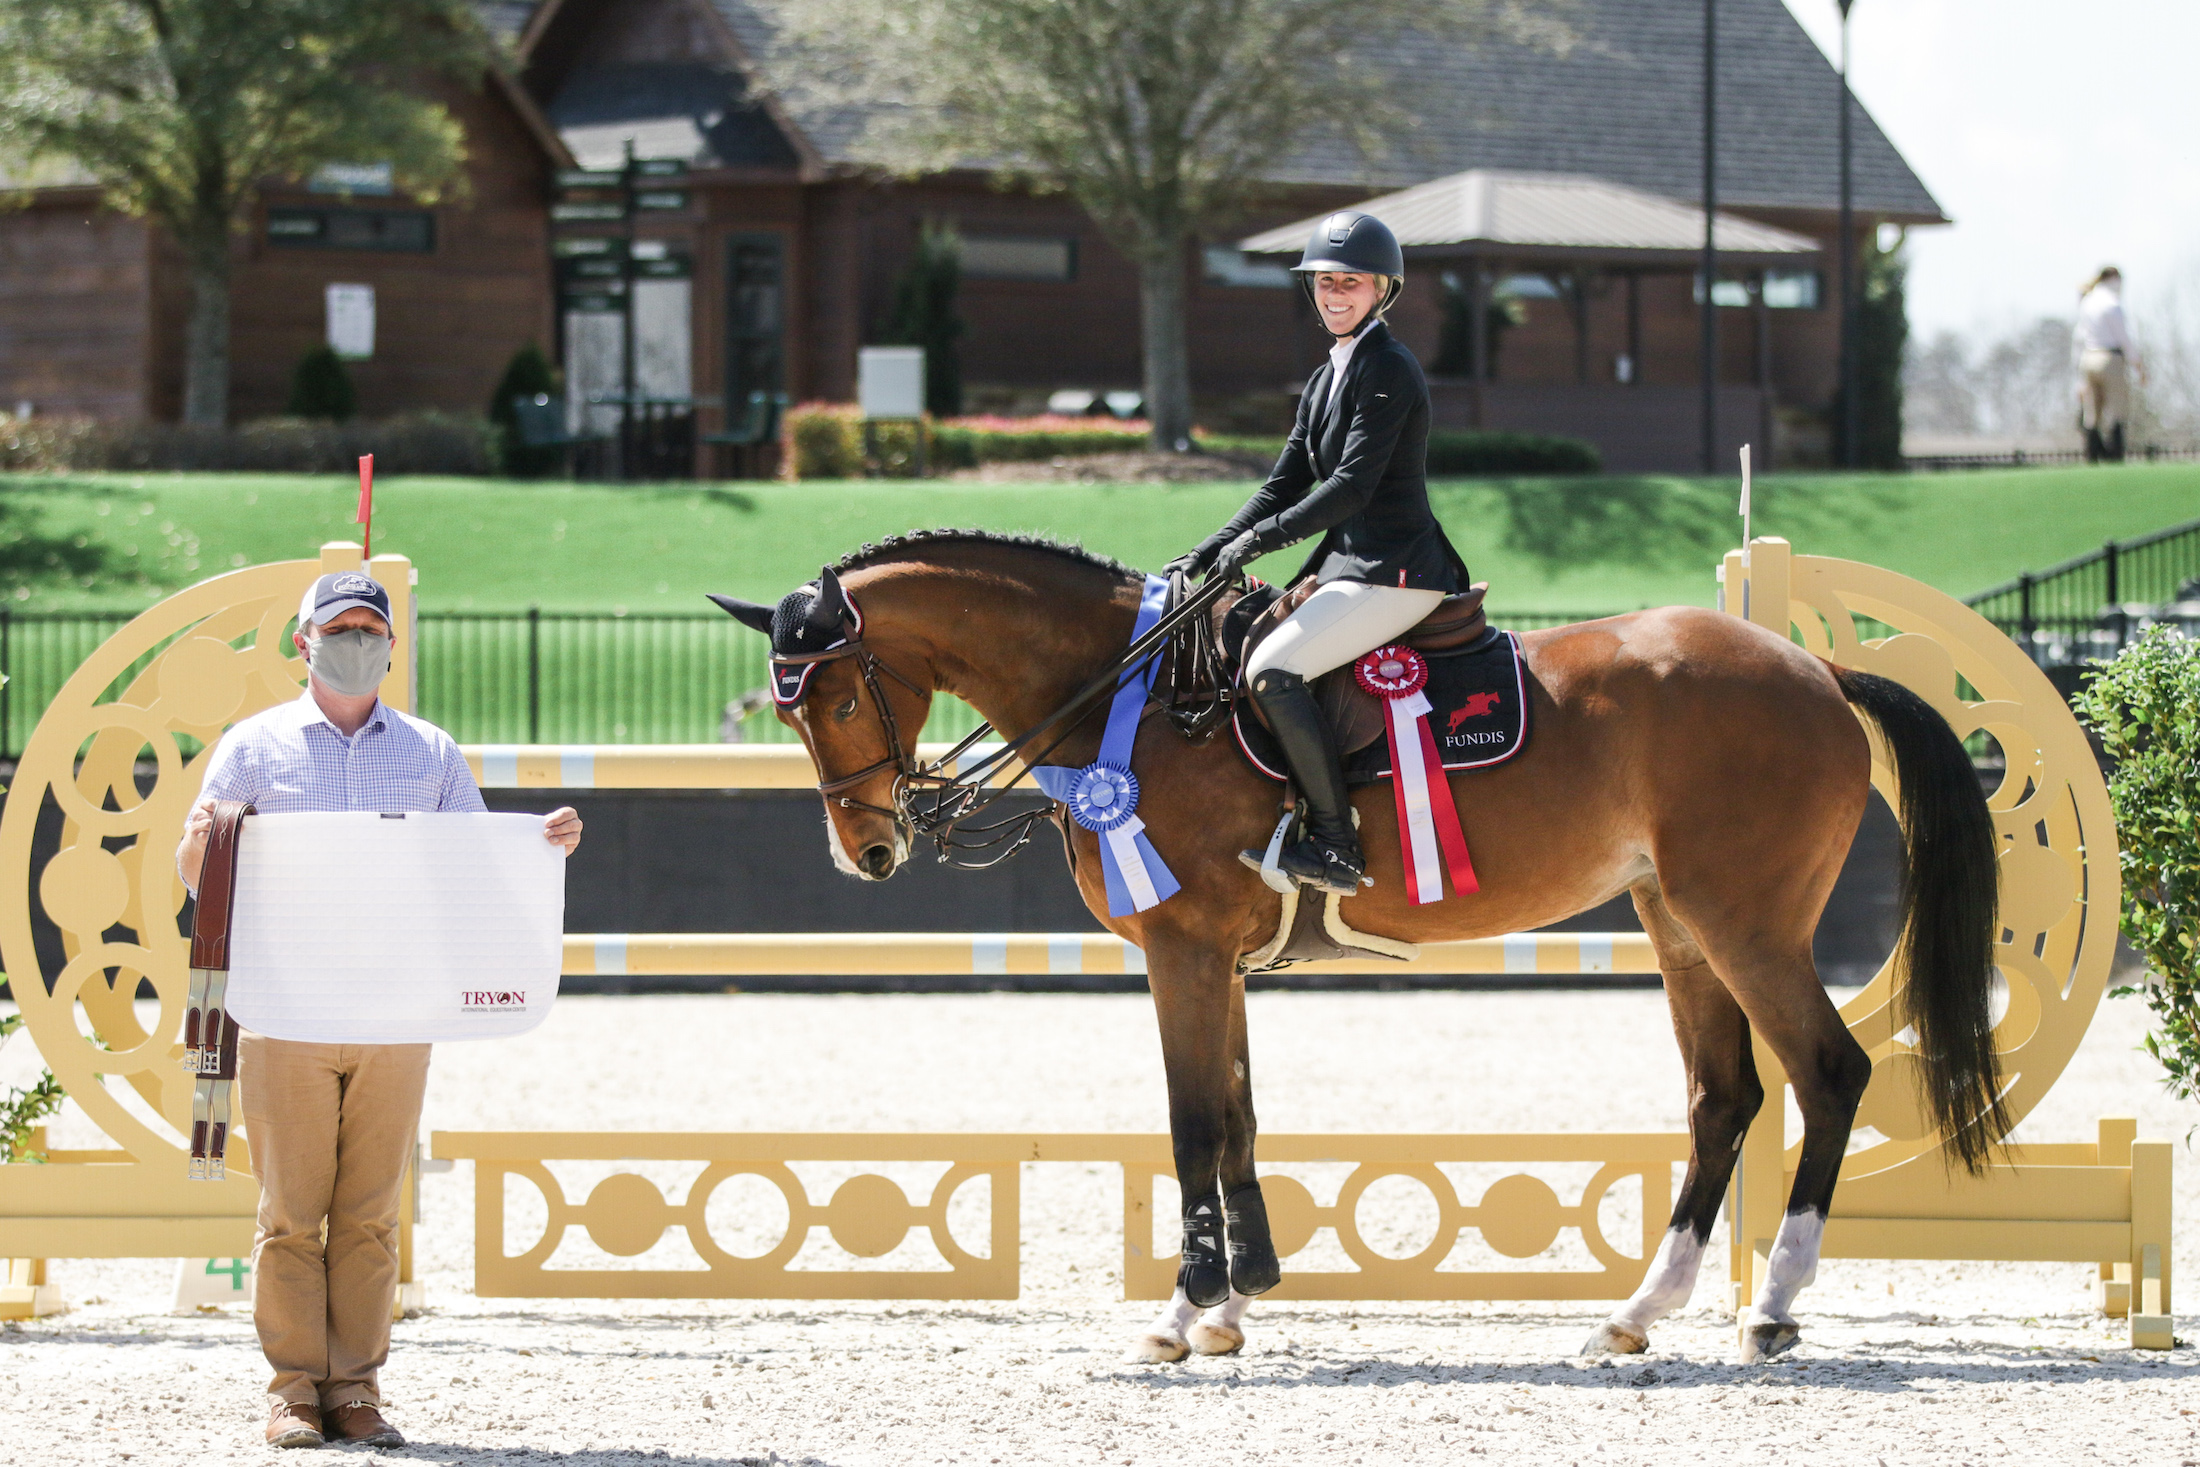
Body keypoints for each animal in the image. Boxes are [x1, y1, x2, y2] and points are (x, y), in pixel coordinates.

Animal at [712, 527, 2006, 1363]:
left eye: (832, 697)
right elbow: (1237, 1118)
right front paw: (1238, 1304)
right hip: (1677, 923)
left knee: (1826, 1073)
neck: (1130, 698)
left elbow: (1192, 1123)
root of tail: (1815, 670)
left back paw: (1772, 1307)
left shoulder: (1180, 952)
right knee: (1723, 1097)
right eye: (785, 708)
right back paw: (1640, 1312)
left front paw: (1181, 1314)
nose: (867, 852)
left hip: (1744, 922)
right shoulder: (1218, 960)